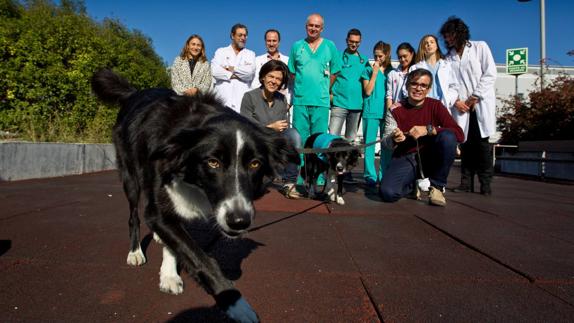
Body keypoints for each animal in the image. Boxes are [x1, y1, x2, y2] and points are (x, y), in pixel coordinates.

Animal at [91, 69, 296, 323]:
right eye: (213, 162)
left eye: (255, 163)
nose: (239, 221)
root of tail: (134, 93)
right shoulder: (157, 207)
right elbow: (199, 258)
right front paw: (235, 302)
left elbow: (178, 242)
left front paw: (169, 274)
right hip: (130, 177)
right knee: (133, 216)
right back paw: (135, 252)